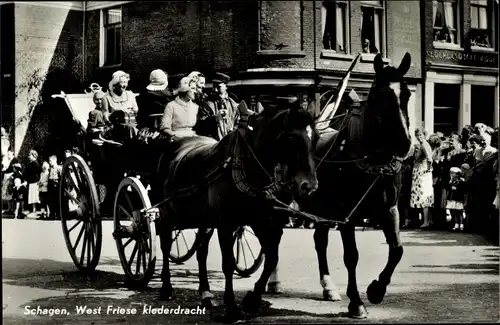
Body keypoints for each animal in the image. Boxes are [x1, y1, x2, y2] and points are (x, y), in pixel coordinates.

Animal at [156, 101, 318, 322]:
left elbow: (272, 258)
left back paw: (205, 292)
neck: (247, 167)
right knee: (165, 244)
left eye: (315, 137)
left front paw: (252, 301)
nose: (309, 186)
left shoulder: (261, 222)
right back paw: (166, 287)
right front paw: (232, 308)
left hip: (205, 220)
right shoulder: (225, 224)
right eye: (292, 137)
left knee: (201, 251)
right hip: (167, 212)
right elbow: (228, 263)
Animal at [270, 52, 414, 318]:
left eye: (406, 94)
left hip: (320, 209)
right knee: (274, 237)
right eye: (379, 95)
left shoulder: (389, 209)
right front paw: (356, 302)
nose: (404, 143)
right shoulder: (348, 215)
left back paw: (328, 287)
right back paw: (273, 282)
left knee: (320, 241)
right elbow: (352, 256)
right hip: (280, 204)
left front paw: (376, 290)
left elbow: (397, 249)